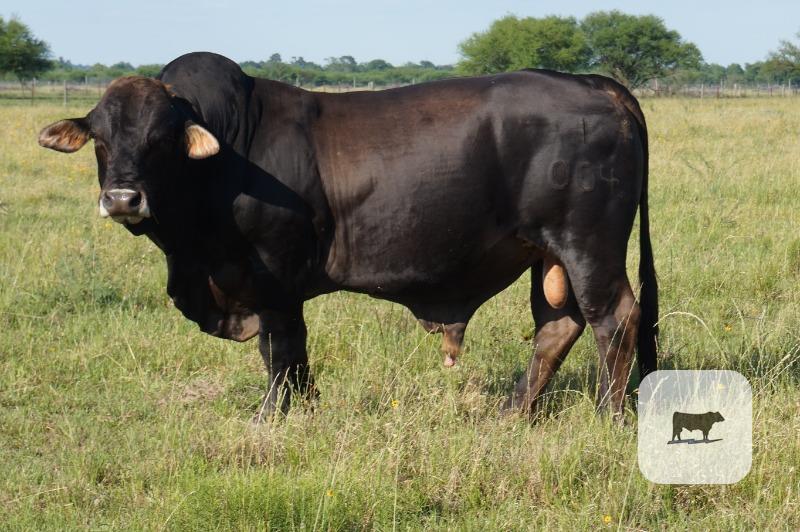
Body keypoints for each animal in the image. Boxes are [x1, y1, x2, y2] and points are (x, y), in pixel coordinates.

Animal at [38, 52, 658, 421]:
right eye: (101, 137)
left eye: (162, 138)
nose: (123, 199)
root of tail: (596, 84)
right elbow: (288, 353)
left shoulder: (273, 277)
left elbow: (282, 350)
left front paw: (273, 417)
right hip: (545, 253)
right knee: (558, 326)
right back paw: (512, 413)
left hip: (588, 243)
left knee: (614, 318)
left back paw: (607, 413)